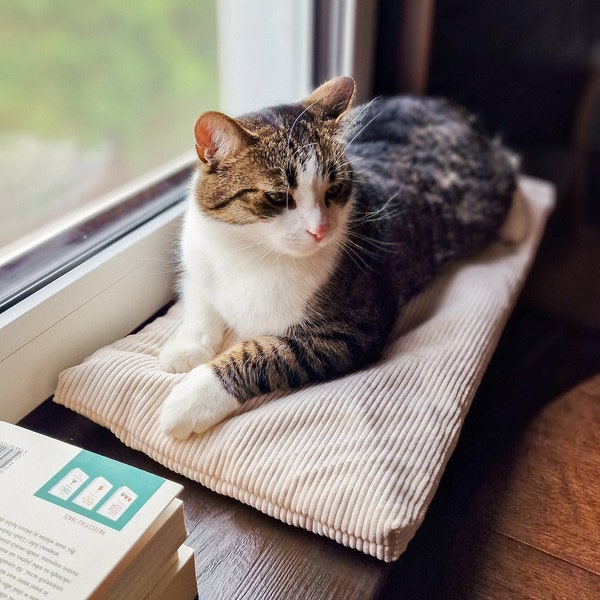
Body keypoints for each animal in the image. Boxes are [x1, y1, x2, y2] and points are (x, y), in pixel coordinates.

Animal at [159, 77, 520, 438]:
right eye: (278, 197)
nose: (320, 230)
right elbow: (200, 296)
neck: (251, 252)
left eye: (334, 189)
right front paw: (187, 347)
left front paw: (193, 398)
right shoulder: (199, 256)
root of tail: (453, 109)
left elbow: (266, 353)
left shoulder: (348, 332)